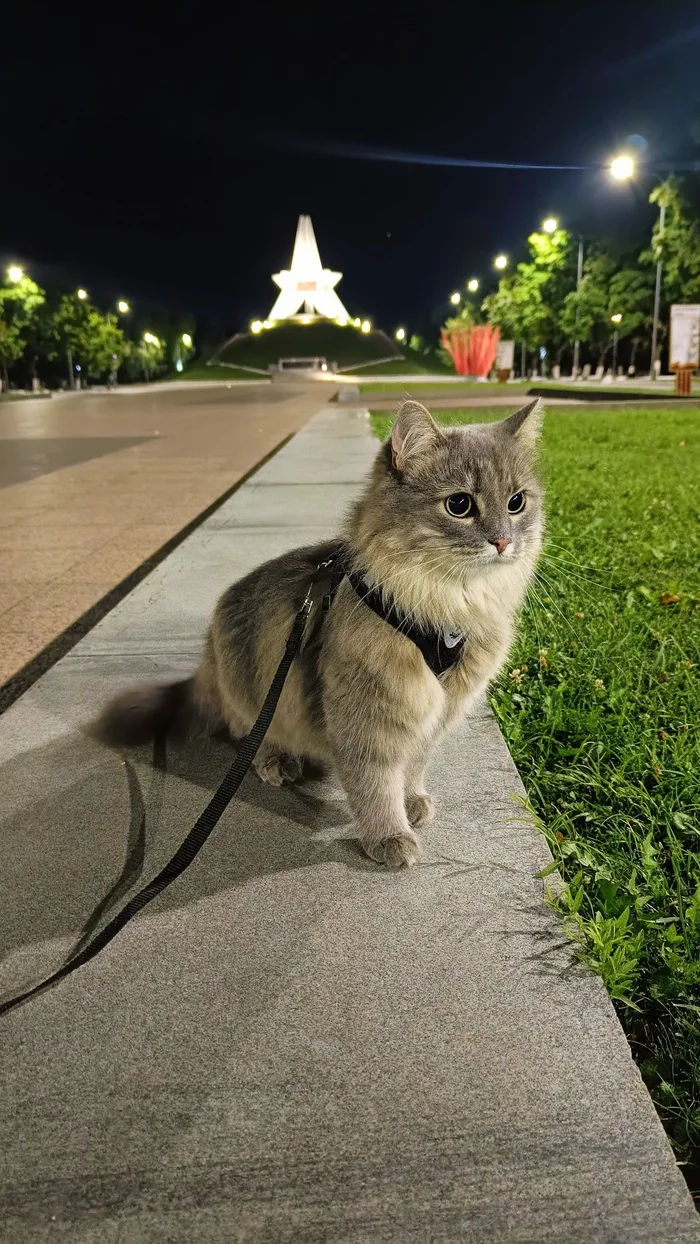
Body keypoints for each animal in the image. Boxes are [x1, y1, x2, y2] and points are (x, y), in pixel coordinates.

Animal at [93, 398, 544, 865]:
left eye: (516, 502)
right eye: (459, 504)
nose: (503, 541)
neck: (448, 609)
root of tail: (207, 663)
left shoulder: (435, 714)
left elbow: (412, 767)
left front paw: (411, 802)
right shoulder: (366, 717)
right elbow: (376, 786)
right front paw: (389, 836)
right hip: (252, 691)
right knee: (249, 732)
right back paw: (277, 762)